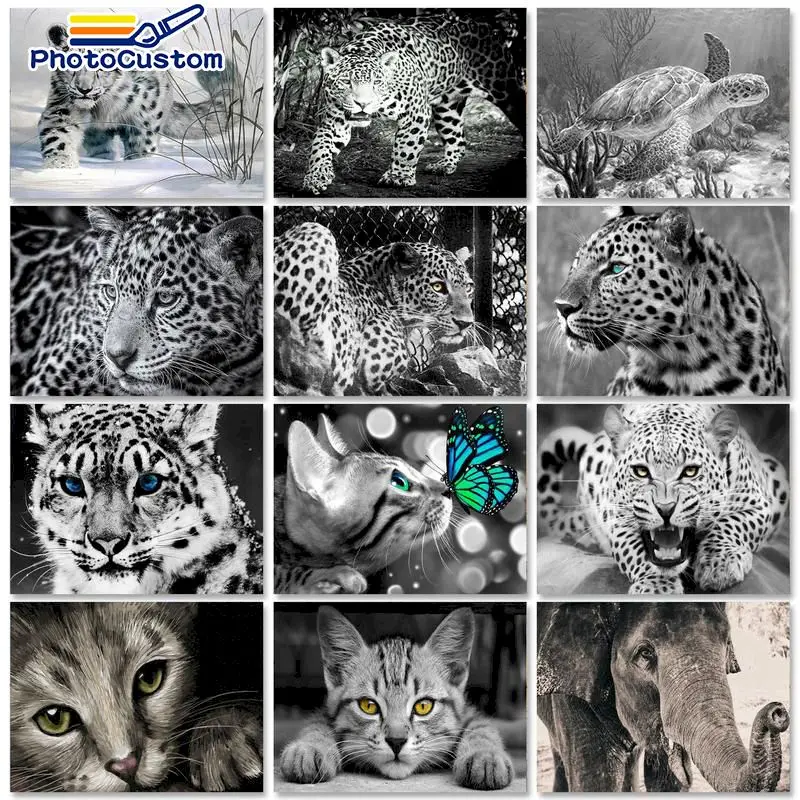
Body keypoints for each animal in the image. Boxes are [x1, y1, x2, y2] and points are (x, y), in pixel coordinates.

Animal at [38, 24, 234, 169]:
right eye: (72, 62)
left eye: (102, 64)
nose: (84, 89)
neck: (102, 108)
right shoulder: (62, 107)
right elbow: (58, 136)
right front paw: (60, 166)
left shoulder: (144, 117)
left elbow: (142, 145)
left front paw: (138, 163)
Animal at [301, 14, 525, 194]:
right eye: (347, 82)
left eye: (376, 83)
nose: (363, 104)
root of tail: (481, 24)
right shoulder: (335, 121)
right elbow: (320, 147)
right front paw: (316, 177)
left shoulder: (416, 113)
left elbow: (406, 147)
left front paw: (398, 177)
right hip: (447, 108)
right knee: (458, 139)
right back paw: (445, 164)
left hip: (505, 88)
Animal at [538, 404, 789, 594]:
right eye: (641, 471)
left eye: (690, 471)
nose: (665, 509)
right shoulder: (618, 520)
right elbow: (636, 552)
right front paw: (657, 587)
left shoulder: (758, 504)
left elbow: (732, 524)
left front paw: (720, 565)